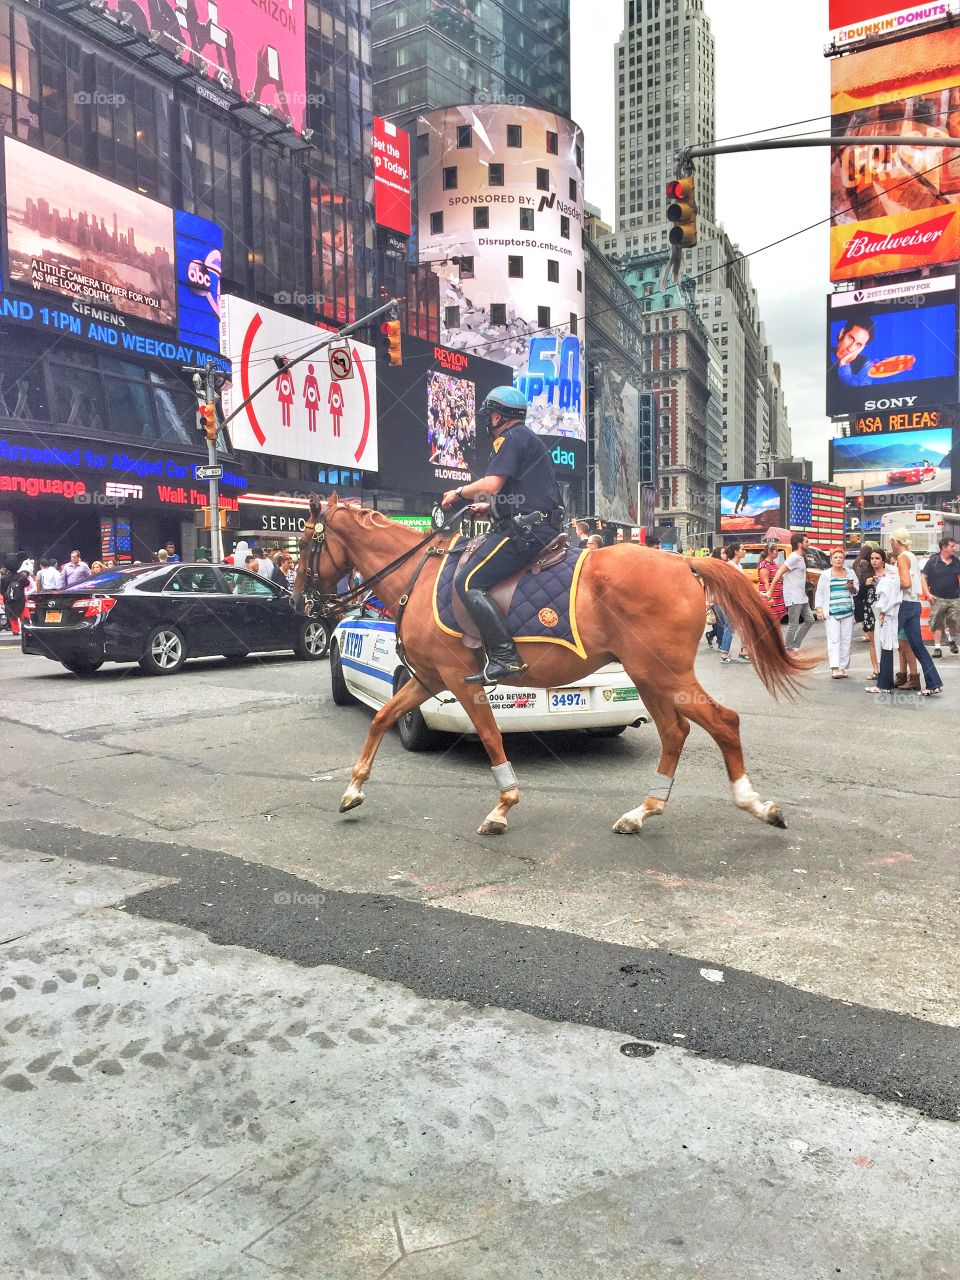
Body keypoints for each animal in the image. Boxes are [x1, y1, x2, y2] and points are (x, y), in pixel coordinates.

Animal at [291, 491, 814, 839]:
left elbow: (490, 736)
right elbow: (381, 717)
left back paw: (754, 804)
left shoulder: (460, 682)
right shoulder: (427, 679)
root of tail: (684, 563)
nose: (298, 601)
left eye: (307, 543)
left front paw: (503, 806)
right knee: (675, 732)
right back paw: (643, 811)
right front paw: (354, 788)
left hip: (663, 673)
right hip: (648, 676)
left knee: (722, 722)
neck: (417, 577)